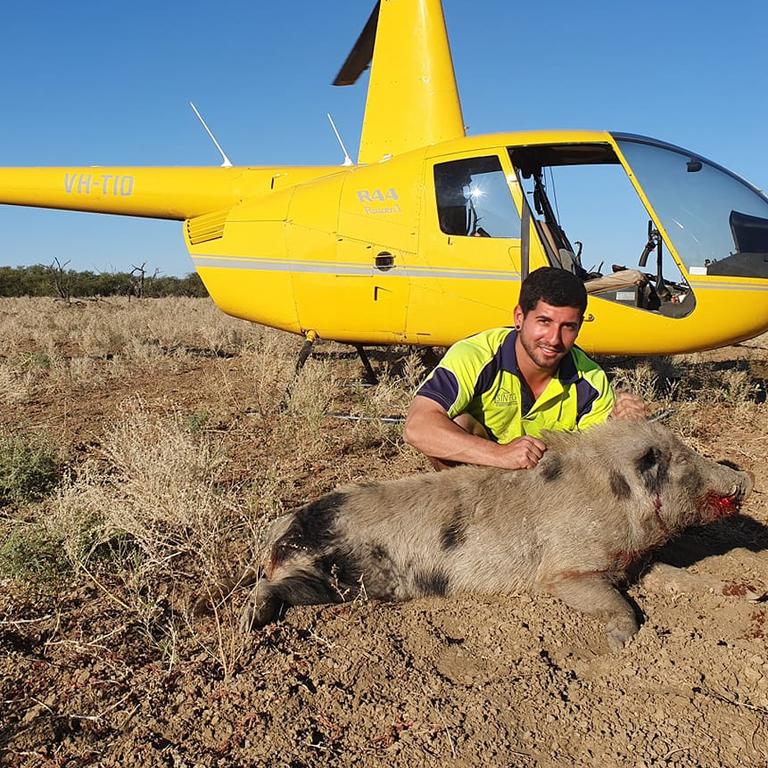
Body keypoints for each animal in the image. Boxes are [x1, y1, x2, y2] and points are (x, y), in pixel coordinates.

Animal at [243, 420, 752, 648]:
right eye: (685, 462)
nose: (743, 477)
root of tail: (279, 529)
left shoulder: (635, 561)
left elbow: (675, 576)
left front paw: (742, 592)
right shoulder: (565, 572)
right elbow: (616, 602)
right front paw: (620, 641)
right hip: (335, 575)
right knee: (266, 587)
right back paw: (250, 626)